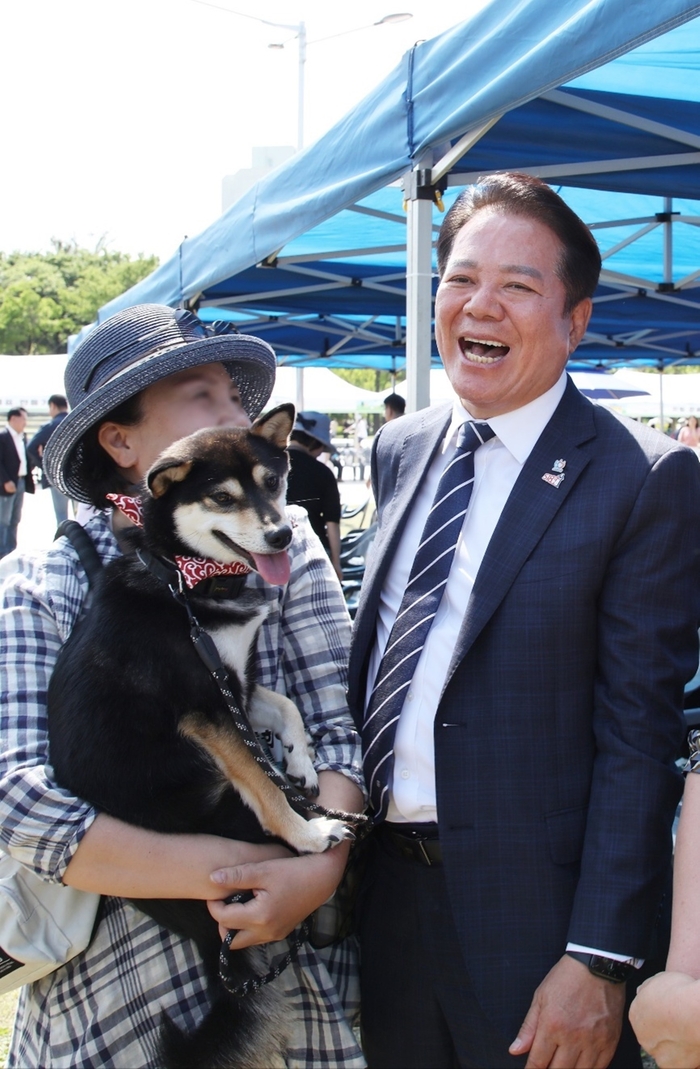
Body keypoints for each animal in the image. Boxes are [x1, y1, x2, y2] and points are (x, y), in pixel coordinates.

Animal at [48, 401, 352, 1069]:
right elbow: (260, 785)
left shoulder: (231, 680)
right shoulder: (204, 711)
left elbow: (285, 707)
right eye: (221, 497)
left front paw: (301, 763)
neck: (183, 578)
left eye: (273, 483)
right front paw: (306, 832)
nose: (283, 536)